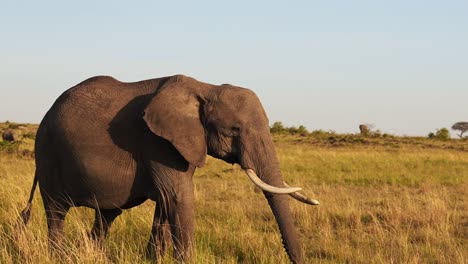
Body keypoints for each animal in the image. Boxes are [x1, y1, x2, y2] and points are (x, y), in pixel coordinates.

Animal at [18, 75, 318, 264]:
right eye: (234, 130)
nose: (299, 260)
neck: (205, 88)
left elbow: (165, 205)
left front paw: (150, 260)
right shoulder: (157, 143)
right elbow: (178, 199)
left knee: (105, 216)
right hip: (47, 154)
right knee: (56, 212)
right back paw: (58, 256)